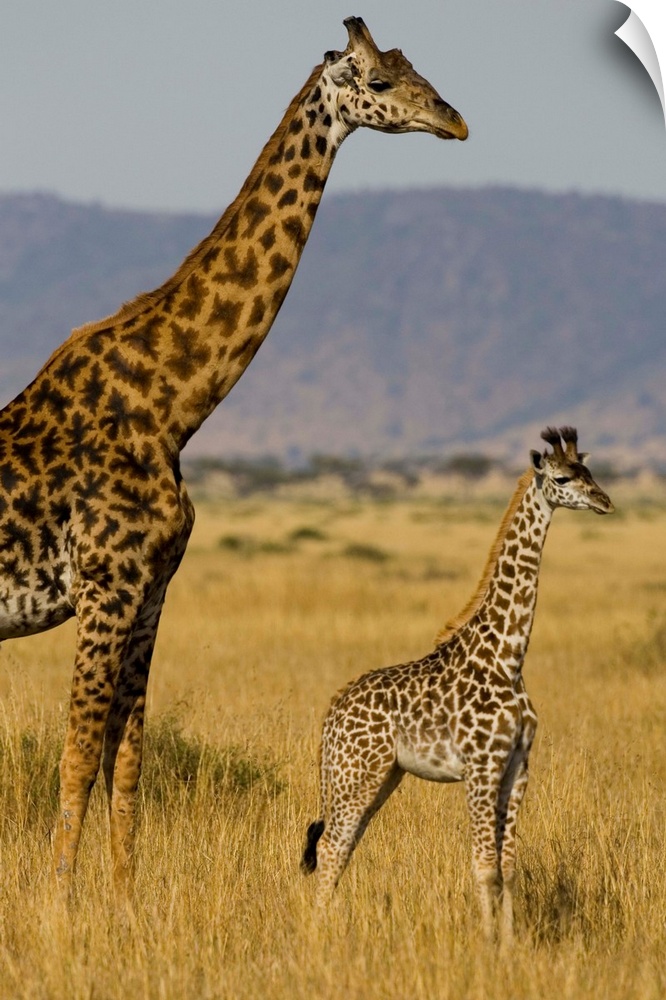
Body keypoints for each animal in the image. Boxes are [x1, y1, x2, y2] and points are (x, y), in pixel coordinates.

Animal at [0, 17, 466, 900]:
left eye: (418, 69)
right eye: (380, 82)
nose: (454, 121)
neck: (174, 404)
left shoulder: (150, 593)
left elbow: (125, 765)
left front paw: (123, 905)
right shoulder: (105, 587)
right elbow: (77, 760)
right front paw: (59, 907)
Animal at [302, 426, 612, 940]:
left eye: (590, 471)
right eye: (564, 477)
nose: (605, 500)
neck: (507, 657)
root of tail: (331, 712)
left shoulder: (517, 766)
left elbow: (508, 866)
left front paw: (510, 944)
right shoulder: (481, 767)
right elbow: (484, 866)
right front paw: (487, 943)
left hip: (381, 776)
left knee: (342, 846)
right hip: (356, 773)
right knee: (330, 847)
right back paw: (320, 935)